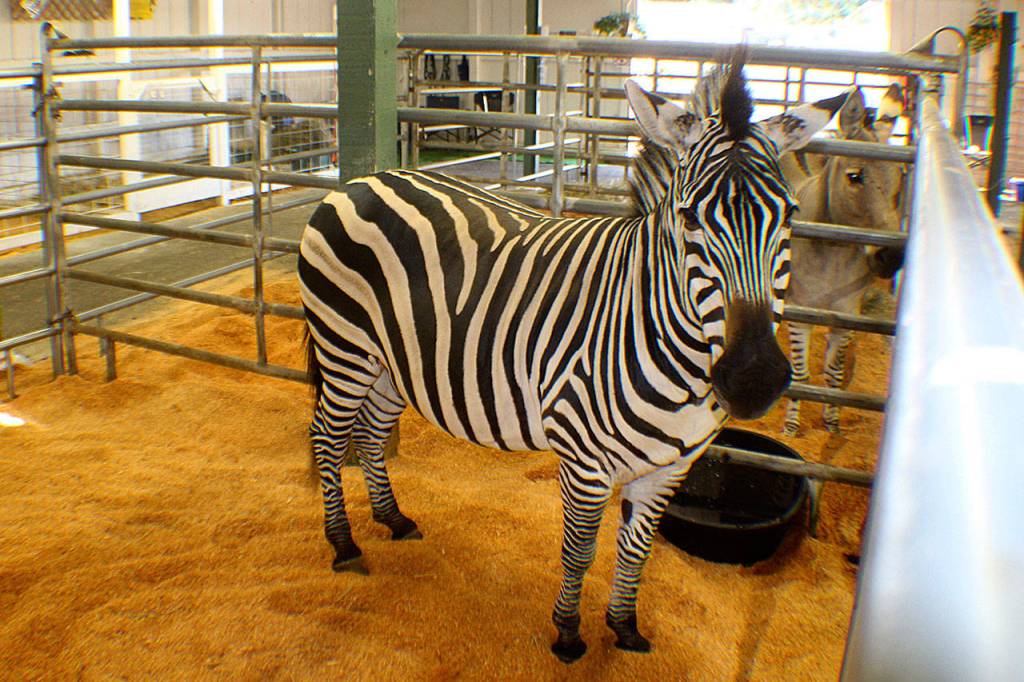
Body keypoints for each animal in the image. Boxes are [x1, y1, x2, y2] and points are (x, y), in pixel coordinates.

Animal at [297, 50, 849, 662]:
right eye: (687, 219)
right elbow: (581, 551)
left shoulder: (671, 466)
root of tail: (362, 180)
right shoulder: (585, 461)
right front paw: (567, 633)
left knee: (371, 433)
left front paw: (626, 628)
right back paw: (343, 543)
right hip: (344, 344)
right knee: (328, 437)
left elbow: (637, 551)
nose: (754, 378)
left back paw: (392, 518)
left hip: (392, 363)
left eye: (791, 215)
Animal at [781, 84, 906, 436]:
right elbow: (800, 375)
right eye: (854, 177)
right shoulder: (800, 310)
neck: (832, 253)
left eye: (901, 176)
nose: (892, 257)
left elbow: (833, 374)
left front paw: (832, 424)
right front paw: (791, 428)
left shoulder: (848, 314)